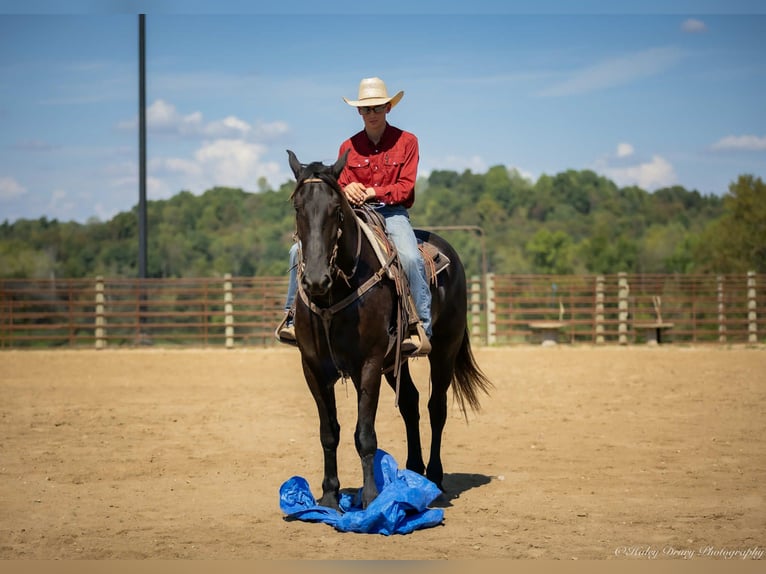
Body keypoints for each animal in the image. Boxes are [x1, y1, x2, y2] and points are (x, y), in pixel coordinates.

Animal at [287, 149, 491, 510]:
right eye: (298, 207)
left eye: (336, 209)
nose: (315, 279)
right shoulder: (313, 367)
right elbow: (330, 432)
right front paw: (329, 496)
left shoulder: (367, 365)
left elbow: (365, 435)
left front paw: (371, 498)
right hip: (396, 362)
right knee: (410, 403)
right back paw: (413, 470)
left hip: (445, 350)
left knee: (436, 408)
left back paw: (434, 476)